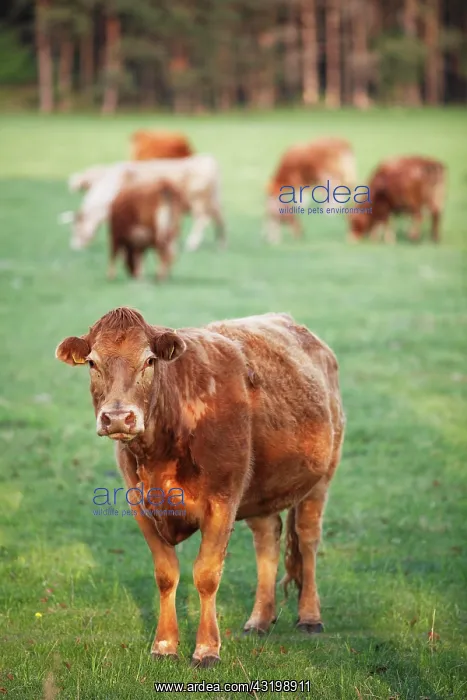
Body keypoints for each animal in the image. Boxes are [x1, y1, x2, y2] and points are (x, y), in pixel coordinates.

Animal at [55, 307, 345, 668]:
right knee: (267, 542)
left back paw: (309, 617)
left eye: (149, 360)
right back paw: (259, 620)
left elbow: (206, 575)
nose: (119, 418)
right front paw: (164, 644)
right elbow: (166, 574)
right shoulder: (140, 506)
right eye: (93, 362)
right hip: (260, 491)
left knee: (307, 540)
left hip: (320, 479)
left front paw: (207, 649)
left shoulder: (222, 501)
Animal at [59, 155, 225, 253]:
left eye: (75, 228)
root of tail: (208, 159)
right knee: (220, 219)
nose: (74, 247)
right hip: (213, 202)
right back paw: (221, 244)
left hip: (199, 202)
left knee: (202, 220)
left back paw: (192, 244)